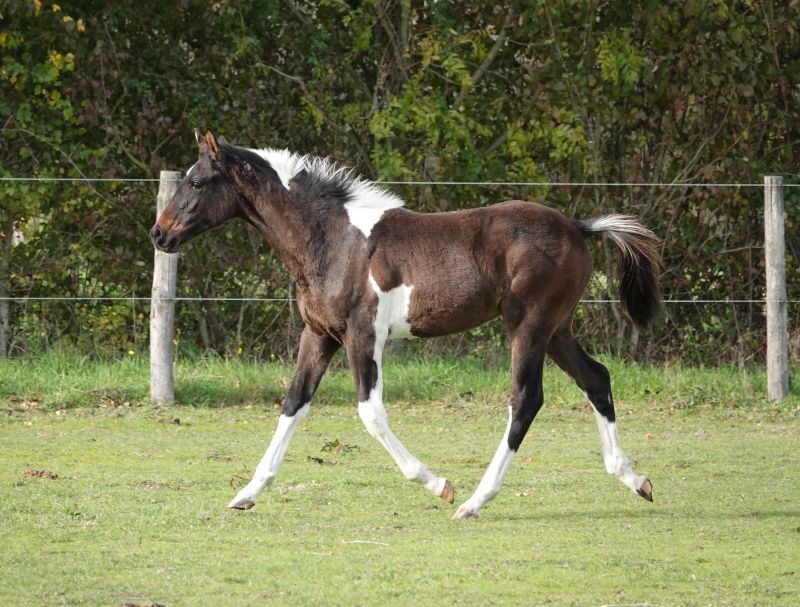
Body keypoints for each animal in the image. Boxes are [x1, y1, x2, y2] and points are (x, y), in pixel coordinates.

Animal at [152, 131, 664, 520]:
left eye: (197, 181)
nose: (159, 234)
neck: (332, 240)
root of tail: (577, 227)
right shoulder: (319, 335)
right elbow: (293, 402)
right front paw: (246, 494)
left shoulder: (363, 336)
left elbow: (370, 413)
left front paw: (438, 484)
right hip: (557, 330)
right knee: (596, 378)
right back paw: (635, 479)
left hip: (529, 326)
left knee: (526, 400)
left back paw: (474, 502)